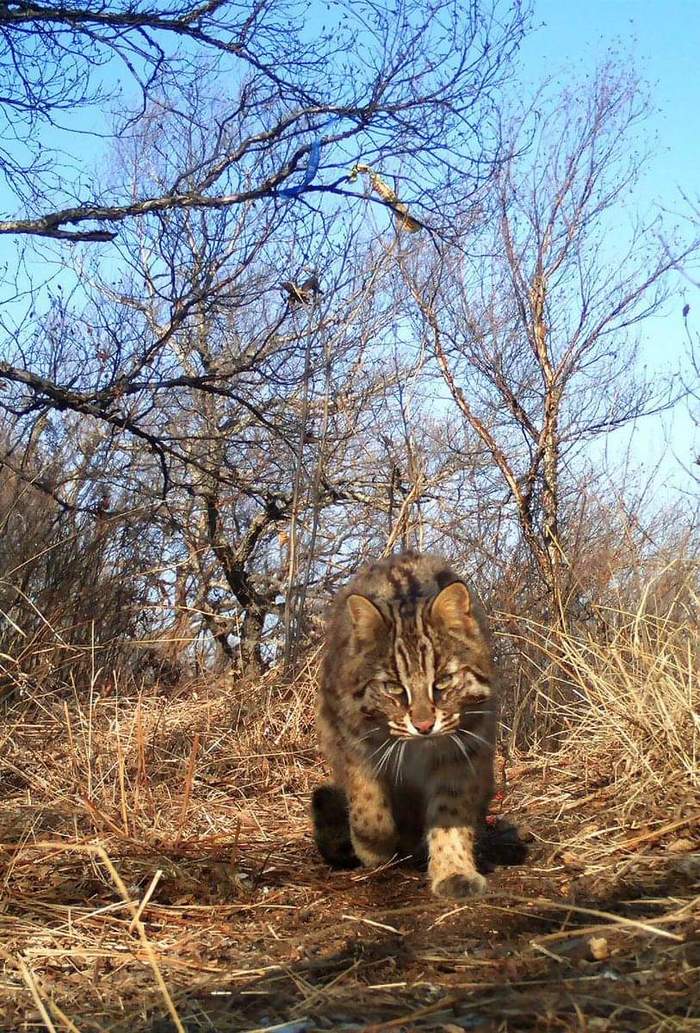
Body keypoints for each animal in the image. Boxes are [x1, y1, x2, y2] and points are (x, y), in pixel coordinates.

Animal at [315, 553, 501, 900]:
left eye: (443, 681)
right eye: (393, 687)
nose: (424, 725)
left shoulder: (463, 749)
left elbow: (450, 812)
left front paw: (453, 869)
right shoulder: (355, 743)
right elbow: (368, 808)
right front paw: (373, 849)